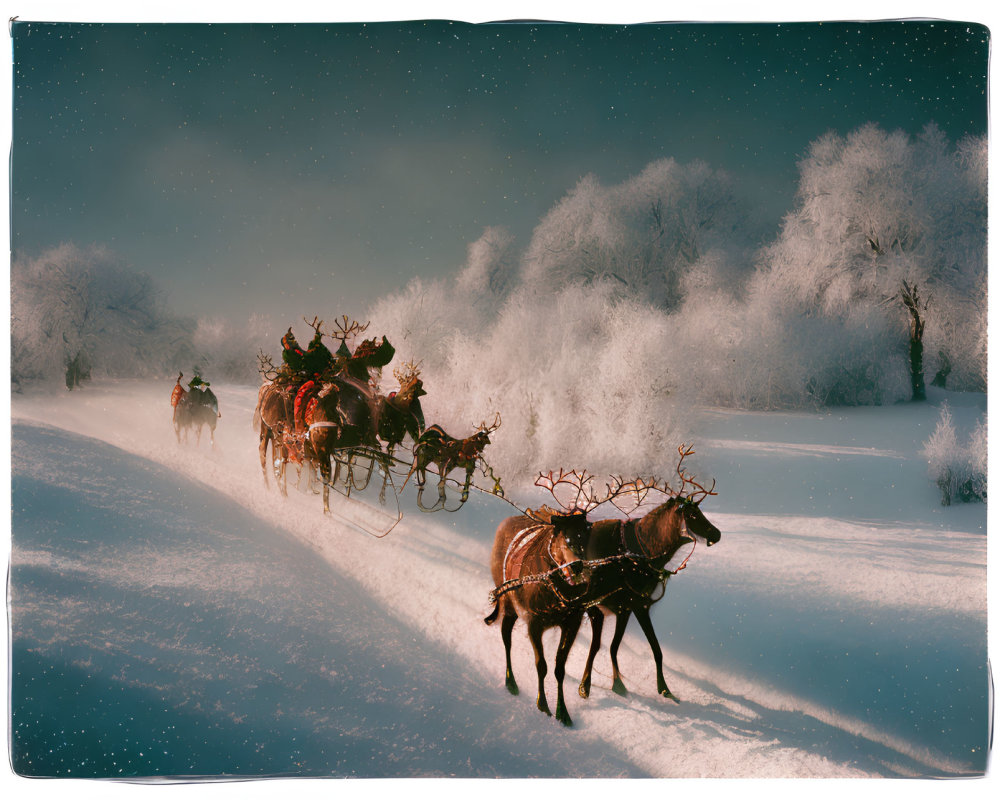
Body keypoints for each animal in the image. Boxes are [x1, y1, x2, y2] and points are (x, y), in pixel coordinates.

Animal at [484, 512, 592, 724]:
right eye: (565, 538)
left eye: (585, 536)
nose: (577, 565)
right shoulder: (534, 623)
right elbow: (541, 665)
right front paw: (542, 705)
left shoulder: (571, 623)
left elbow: (560, 668)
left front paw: (562, 712)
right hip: (510, 606)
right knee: (506, 638)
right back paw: (511, 682)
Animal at [576, 496, 724, 704]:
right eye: (693, 515)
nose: (716, 533)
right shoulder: (630, 605)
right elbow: (606, 646)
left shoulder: (630, 607)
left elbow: (648, 649)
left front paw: (662, 688)